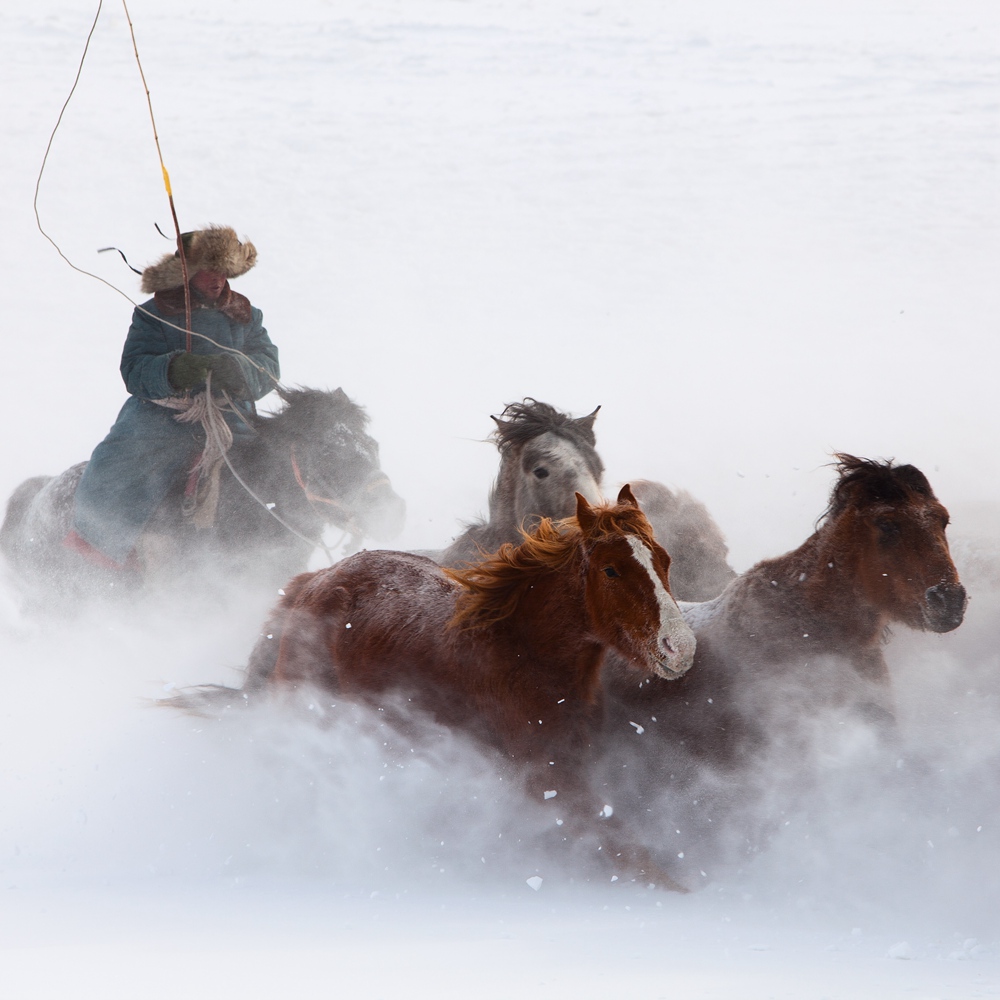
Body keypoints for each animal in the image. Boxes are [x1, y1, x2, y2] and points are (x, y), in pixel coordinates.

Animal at [250, 488, 696, 888]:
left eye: (664, 560)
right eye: (611, 569)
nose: (681, 648)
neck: (523, 651)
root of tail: (313, 582)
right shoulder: (549, 778)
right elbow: (626, 850)